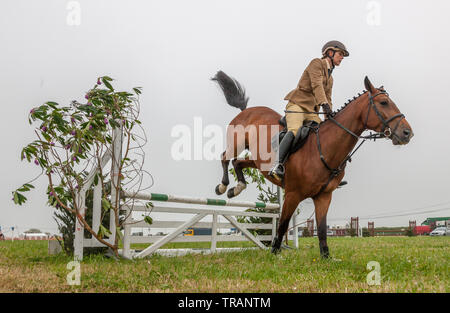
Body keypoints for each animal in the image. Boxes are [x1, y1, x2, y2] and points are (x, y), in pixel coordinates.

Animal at [213, 71, 414, 258]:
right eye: (383, 103)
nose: (407, 133)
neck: (324, 148)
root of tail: (246, 110)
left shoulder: (323, 197)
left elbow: (323, 229)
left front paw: (326, 257)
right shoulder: (292, 194)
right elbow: (283, 224)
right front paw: (275, 253)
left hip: (256, 160)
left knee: (238, 163)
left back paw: (236, 188)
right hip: (236, 144)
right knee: (225, 157)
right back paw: (223, 186)